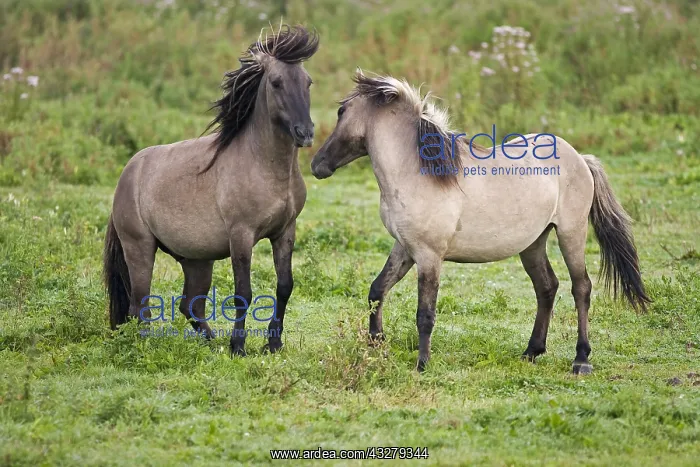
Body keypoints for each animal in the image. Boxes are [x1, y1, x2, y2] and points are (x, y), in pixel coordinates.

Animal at [104, 25, 319, 356]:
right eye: (276, 82)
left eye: (307, 82)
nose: (305, 133)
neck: (264, 166)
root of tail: (128, 174)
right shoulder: (241, 235)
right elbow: (244, 292)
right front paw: (238, 347)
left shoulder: (285, 231)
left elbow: (285, 286)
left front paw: (273, 343)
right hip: (139, 248)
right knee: (139, 304)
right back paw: (148, 347)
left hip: (196, 260)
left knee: (190, 305)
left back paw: (211, 342)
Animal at [310, 71, 650, 373]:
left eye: (341, 111)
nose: (317, 165)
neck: (418, 174)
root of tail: (580, 158)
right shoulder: (404, 248)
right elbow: (377, 290)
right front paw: (377, 342)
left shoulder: (429, 256)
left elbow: (425, 314)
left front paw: (422, 364)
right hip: (533, 242)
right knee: (547, 287)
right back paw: (531, 352)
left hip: (571, 233)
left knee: (581, 288)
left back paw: (581, 360)